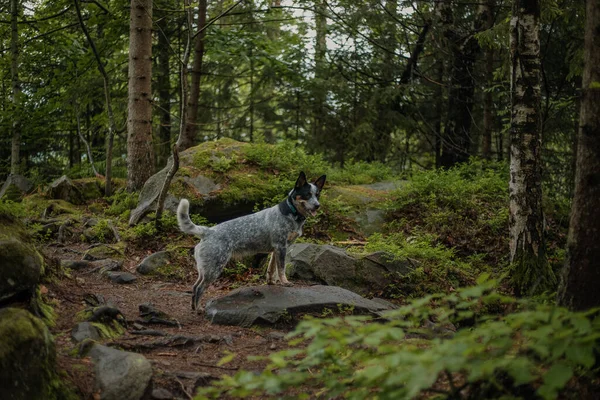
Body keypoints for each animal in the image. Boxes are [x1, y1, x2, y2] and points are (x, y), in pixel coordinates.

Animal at [177, 170, 326, 310]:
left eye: (317, 194)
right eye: (307, 194)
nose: (318, 205)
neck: (291, 212)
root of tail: (208, 231)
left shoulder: (276, 250)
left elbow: (272, 269)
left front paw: (271, 282)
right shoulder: (281, 247)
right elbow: (281, 268)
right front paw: (285, 282)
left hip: (205, 269)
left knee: (194, 286)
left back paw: (194, 307)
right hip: (214, 268)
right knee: (199, 288)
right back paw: (199, 309)